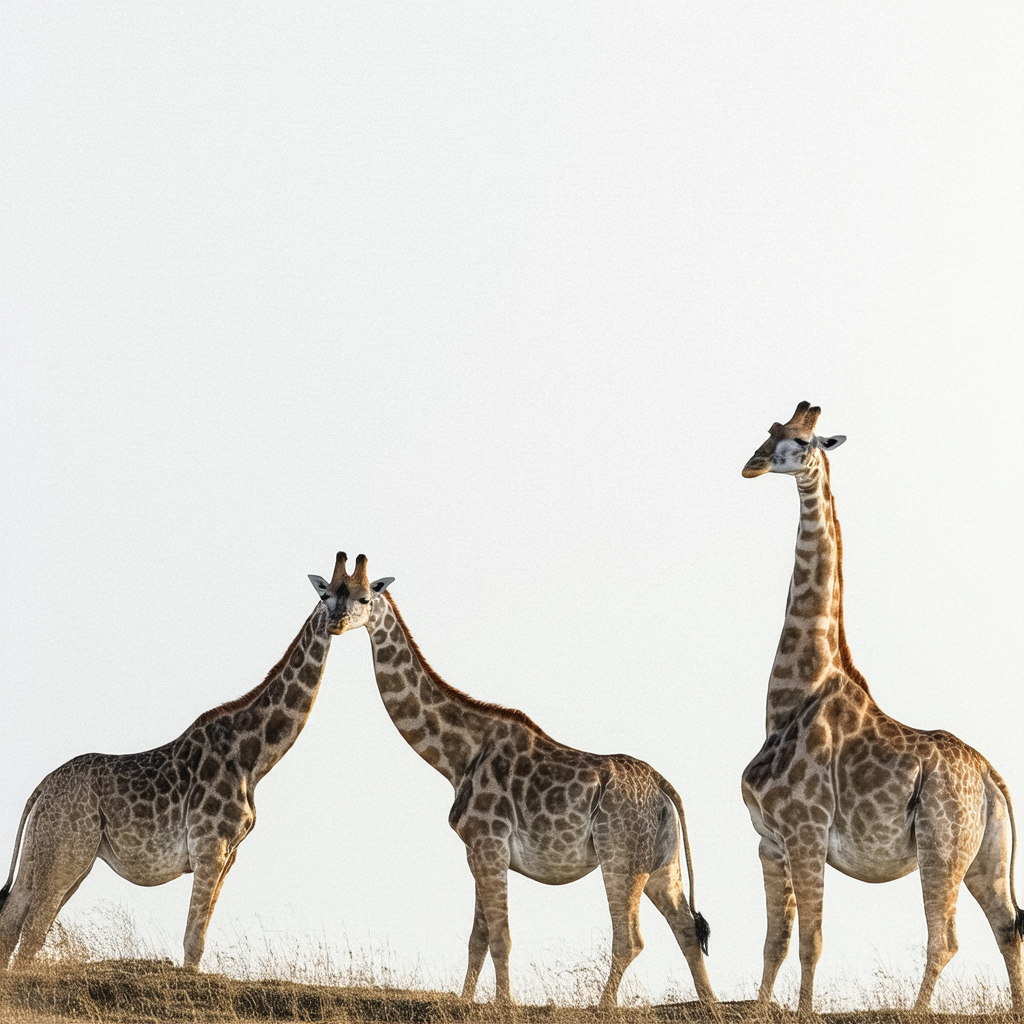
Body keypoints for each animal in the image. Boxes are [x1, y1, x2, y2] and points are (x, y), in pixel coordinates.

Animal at [0, 561, 363, 971]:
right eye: (327, 594)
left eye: (364, 595)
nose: (337, 621)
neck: (253, 758)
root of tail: (42, 786)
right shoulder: (210, 845)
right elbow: (194, 941)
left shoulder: (230, 854)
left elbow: (199, 934)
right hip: (70, 849)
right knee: (33, 930)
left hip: (44, 845)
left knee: (11, 919)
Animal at [309, 553, 716, 1010]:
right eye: (327, 595)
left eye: (364, 597)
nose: (335, 623)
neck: (457, 757)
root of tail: (664, 787)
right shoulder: (476, 850)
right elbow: (478, 939)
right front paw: (466, 1001)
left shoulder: (490, 844)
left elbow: (500, 938)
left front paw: (504, 1003)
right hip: (663, 864)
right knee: (686, 927)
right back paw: (711, 1005)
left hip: (620, 856)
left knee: (630, 938)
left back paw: (603, 1006)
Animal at [740, 401, 1024, 1014]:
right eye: (768, 433)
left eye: (802, 441)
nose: (752, 465)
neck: (791, 696)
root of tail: (991, 778)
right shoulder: (769, 839)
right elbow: (776, 940)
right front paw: (760, 1010)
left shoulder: (805, 830)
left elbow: (811, 939)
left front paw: (804, 1015)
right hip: (986, 856)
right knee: (1008, 925)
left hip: (943, 844)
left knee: (946, 938)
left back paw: (917, 1011)